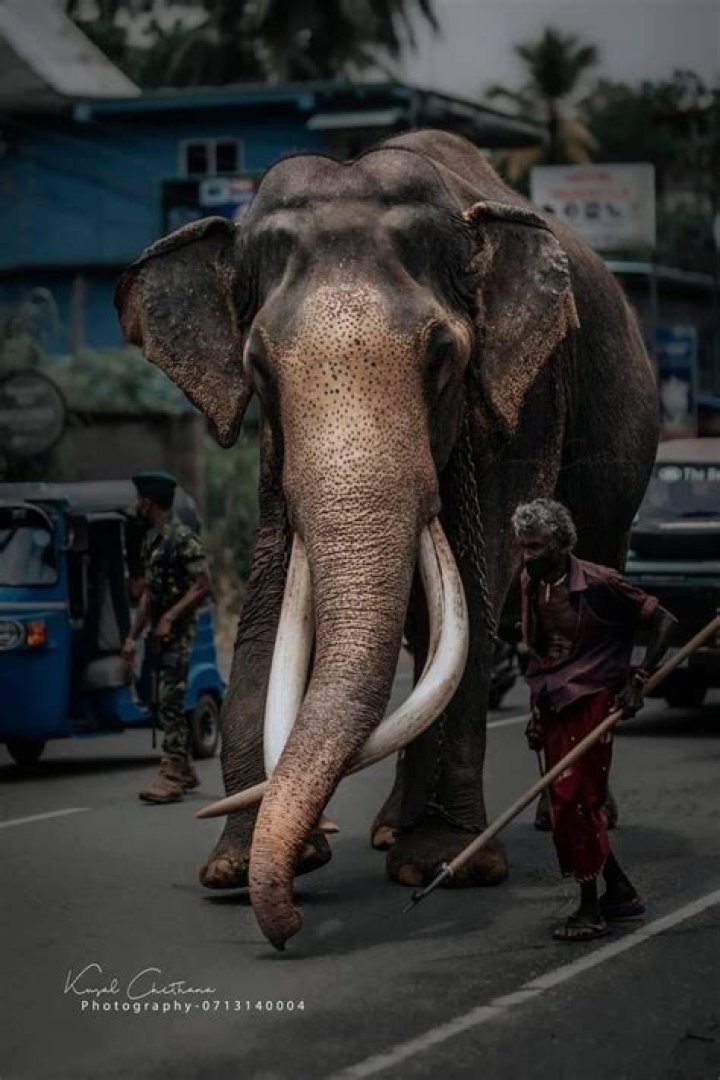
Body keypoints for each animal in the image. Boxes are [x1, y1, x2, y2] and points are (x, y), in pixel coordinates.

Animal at [115, 129, 659, 950]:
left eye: (442, 357)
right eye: (257, 366)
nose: (288, 928)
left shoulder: (521, 401)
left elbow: (475, 585)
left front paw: (446, 868)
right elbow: (270, 599)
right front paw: (234, 872)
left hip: (619, 472)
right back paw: (386, 833)